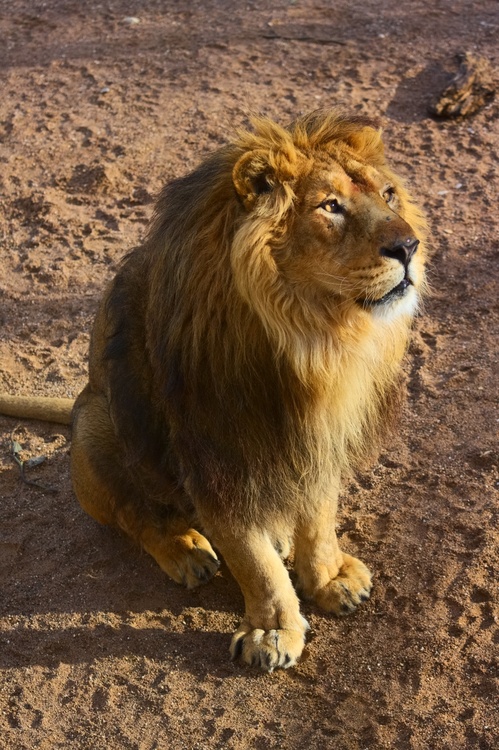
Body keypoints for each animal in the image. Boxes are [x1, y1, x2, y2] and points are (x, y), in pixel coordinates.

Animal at [0, 110, 427, 671]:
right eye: (329, 206)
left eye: (390, 194)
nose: (408, 246)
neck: (313, 338)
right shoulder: (217, 457)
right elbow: (252, 560)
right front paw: (273, 630)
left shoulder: (315, 439)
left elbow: (318, 519)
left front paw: (329, 577)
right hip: (94, 426)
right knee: (135, 515)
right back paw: (185, 550)